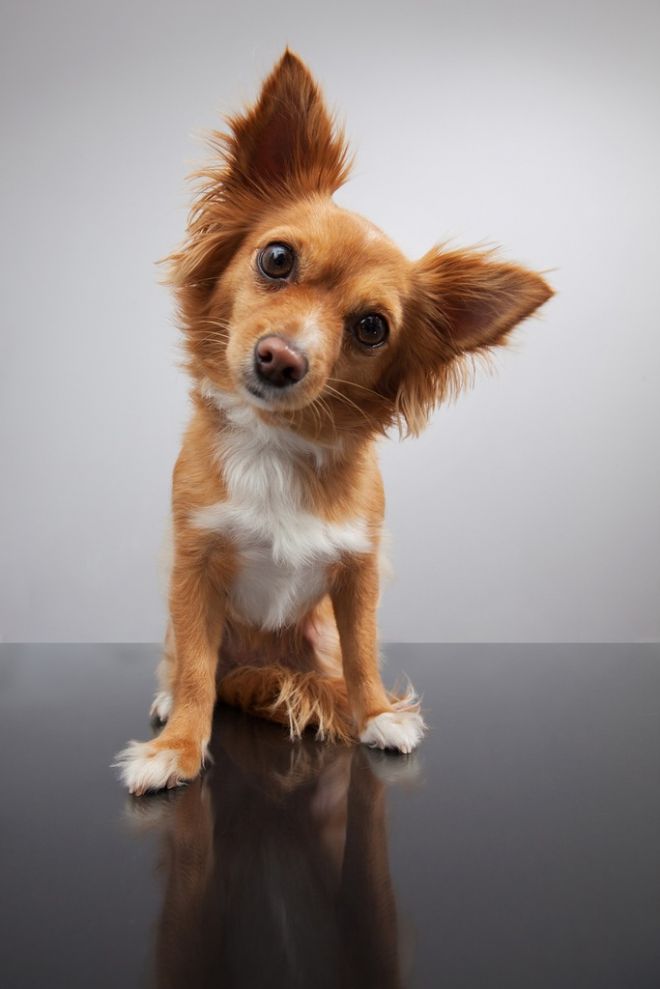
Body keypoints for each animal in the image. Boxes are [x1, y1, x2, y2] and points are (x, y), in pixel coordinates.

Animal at [114, 48, 552, 796]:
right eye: (277, 258)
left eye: (372, 327)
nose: (281, 358)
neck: (278, 442)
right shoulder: (194, 568)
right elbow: (199, 669)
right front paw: (177, 748)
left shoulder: (357, 572)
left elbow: (362, 650)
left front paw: (375, 714)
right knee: (188, 663)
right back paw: (172, 700)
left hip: (311, 632)